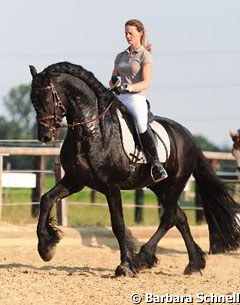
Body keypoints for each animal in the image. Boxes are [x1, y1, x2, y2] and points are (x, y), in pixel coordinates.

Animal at [29, 61, 240, 276]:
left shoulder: (111, 186)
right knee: (179, 217)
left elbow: (118, 224)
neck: (92, 130)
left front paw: (125, 266)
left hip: (175, 183)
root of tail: (190, 137)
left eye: (46, 99)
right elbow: (46, 199)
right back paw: (193, 264)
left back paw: (142, 258)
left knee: (170, 217)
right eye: (33, 100)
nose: (45, 136)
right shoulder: (75, 180)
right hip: (160, 186)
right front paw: (46, 247)